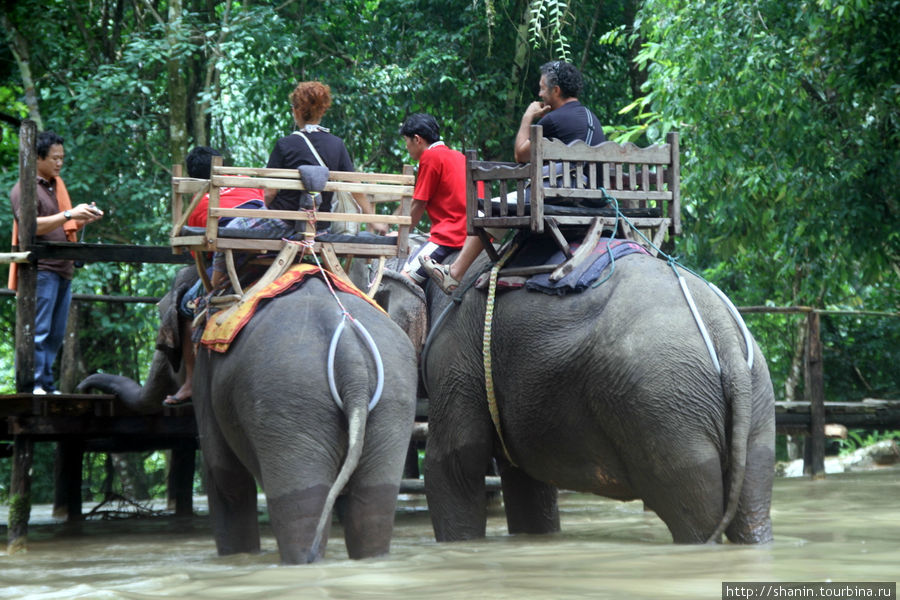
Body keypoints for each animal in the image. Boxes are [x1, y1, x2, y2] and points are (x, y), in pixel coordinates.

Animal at [81, 266, 418, 564]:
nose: (85, 386)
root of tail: (349, 346)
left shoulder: (207, 381)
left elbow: (224, 476)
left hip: (287, 400)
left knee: (298, 502)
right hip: (393, 398)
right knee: (373, 500)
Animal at [420, 251, 772, 548]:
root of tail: (723, 335)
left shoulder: (455, 350)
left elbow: (455, 461)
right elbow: (525, 480)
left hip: (666, 404)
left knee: (693, 511)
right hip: (751, 397)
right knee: (753, 490)